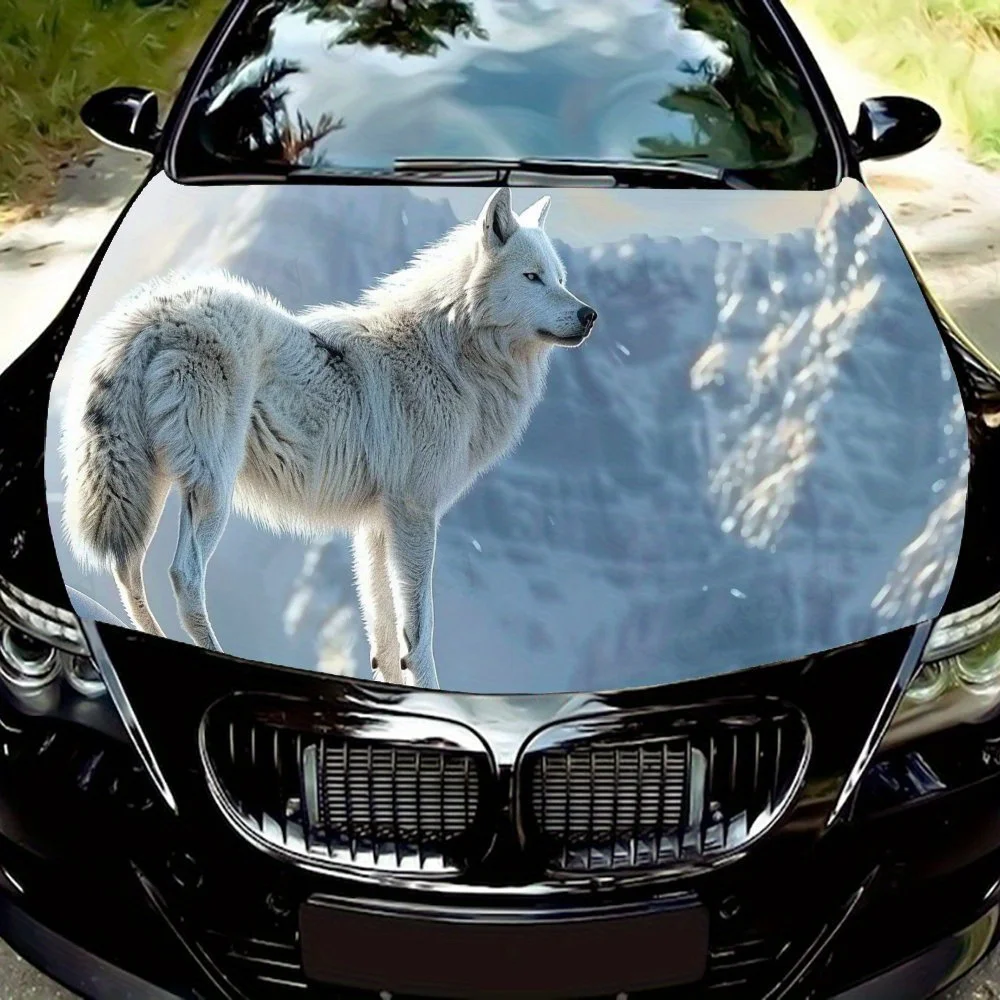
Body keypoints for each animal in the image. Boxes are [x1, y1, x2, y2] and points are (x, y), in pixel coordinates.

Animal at [60, 187, 597, 689]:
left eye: (560, 279)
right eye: (532, 277)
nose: (589, 315)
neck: (451, 355)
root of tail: (155, 315)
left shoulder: (375, 527)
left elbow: (384, 634)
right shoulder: (416, 515)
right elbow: (419, 632)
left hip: (147, 490)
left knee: (127, 571)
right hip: (213, 488)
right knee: (183, 575)